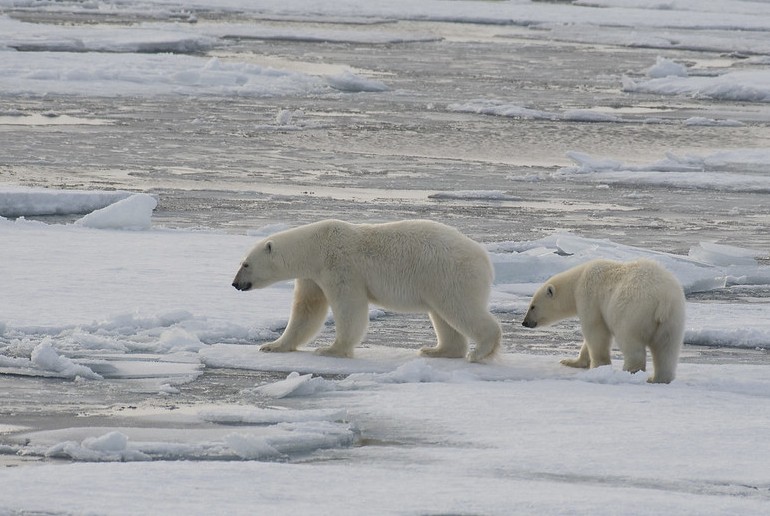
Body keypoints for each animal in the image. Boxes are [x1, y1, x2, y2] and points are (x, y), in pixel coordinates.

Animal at [231, 220, 500, 360]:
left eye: (245, 264)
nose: (235, 284)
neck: (316, 246)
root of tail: (485, 258)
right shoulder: (312, 277)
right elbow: (306, 310)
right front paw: (273, 345)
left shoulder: (340, 267)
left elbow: (349, 307)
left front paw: (331, 349)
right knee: (443, 315)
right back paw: (437, 350)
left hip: (449, 274)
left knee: (459, 309)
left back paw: (480, 351)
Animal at [520, 258, 684, 382]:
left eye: (532, 306)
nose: (525, 322)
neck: (578, 280)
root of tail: (663, 299)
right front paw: (571, 362)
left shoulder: (589, 297)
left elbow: (595, 331)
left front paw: (598, 366)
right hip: (672, 319)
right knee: (667, 349)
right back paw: (658, 378)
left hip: (633, 312)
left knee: (630, 341)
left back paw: (629, 371)